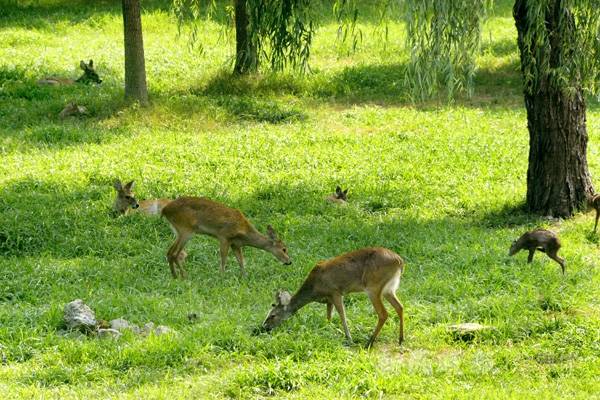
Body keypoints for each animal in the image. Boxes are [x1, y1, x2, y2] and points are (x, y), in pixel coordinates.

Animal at [159, 196, 290, 278]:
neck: (244, 232)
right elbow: (223, 258)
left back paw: (175, 276)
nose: (289, 261)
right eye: (284, 249)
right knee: (174, 254)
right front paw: (221, 276)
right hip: (186, 230)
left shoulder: (235, 244)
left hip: (178, 230)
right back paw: (183, 276)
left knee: (169, 253)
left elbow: (241, 261)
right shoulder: (224, 236)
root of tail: (164, 210)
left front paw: (245, 276)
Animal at [262, 247, 406, 346]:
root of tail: (399, 261)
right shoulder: (329, 300)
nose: (264, 328)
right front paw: (327, 330)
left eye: (272, 315)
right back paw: (400, 339)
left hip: (373, 287)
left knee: (383, 313)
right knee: (400, 307)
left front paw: (349, 338)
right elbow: (329, 317)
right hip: (389, 289)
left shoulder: (336, 292)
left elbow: (342, 316)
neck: (315, 289)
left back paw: (369, 342)